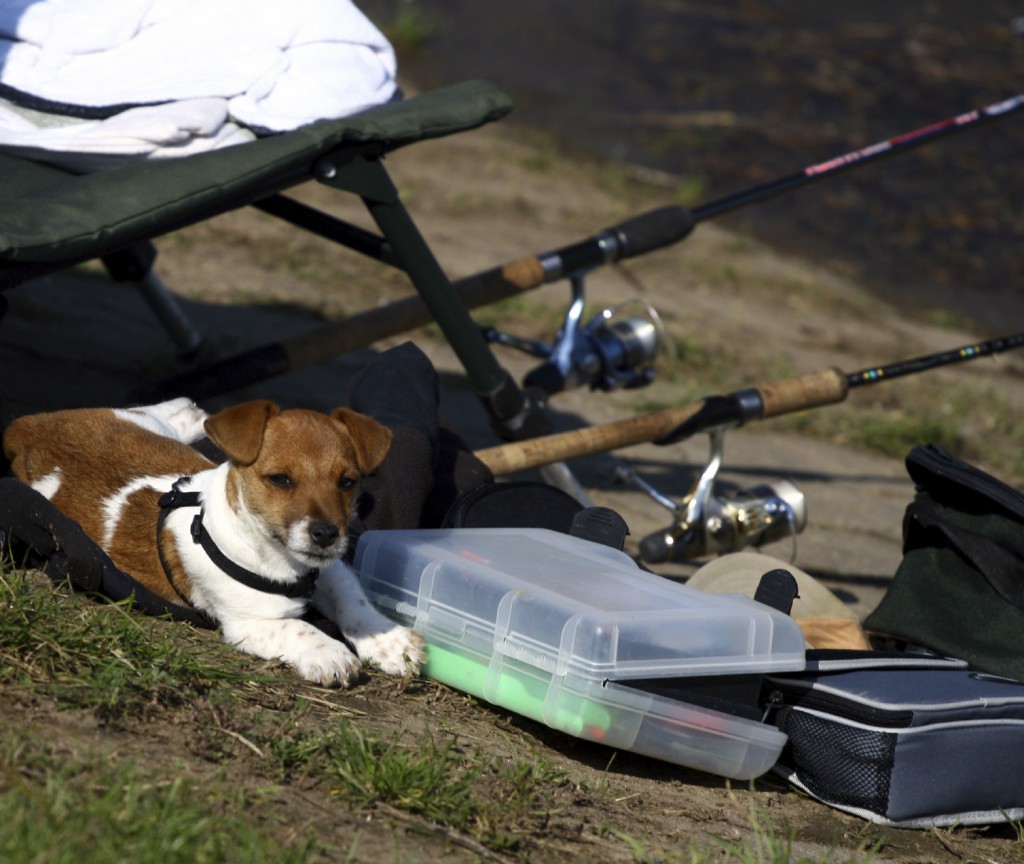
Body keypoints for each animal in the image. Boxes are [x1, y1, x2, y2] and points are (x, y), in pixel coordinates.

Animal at [2, 399, 425, 687]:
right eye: (280, 479)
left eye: (347, 482)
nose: (325, 534)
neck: (282, 560)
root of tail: (30, 426)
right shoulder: (249, 623)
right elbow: (297, 627)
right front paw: (331, 652)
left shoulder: (331, 569)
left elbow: (354, 602)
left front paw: (389, 642)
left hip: (140, 423)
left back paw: (191, 414)